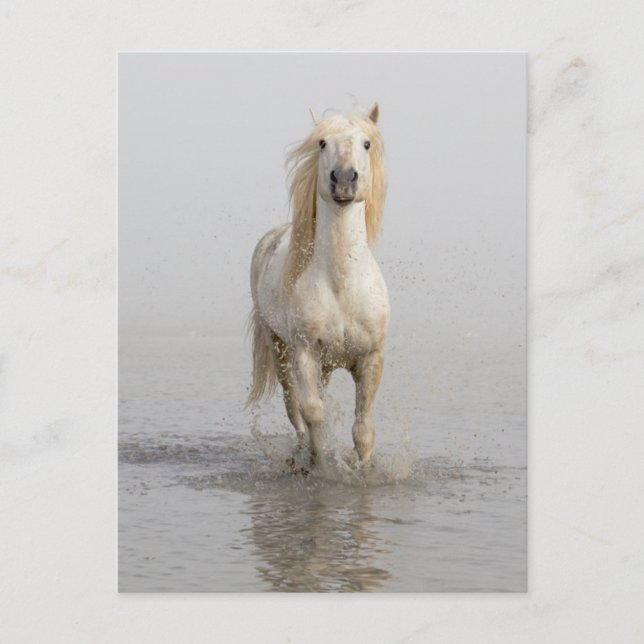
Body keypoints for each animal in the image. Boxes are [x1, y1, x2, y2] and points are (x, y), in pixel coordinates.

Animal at [247, 103, 389, 467]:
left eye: (366, 143)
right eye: (323, 143)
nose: (344, 179)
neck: (342, 283)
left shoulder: (370, 357)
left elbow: (363, 427)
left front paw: (362, 469)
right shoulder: (305, 353)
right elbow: (313, 412)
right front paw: (322, 462)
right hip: (279, 348)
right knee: (293, 406)